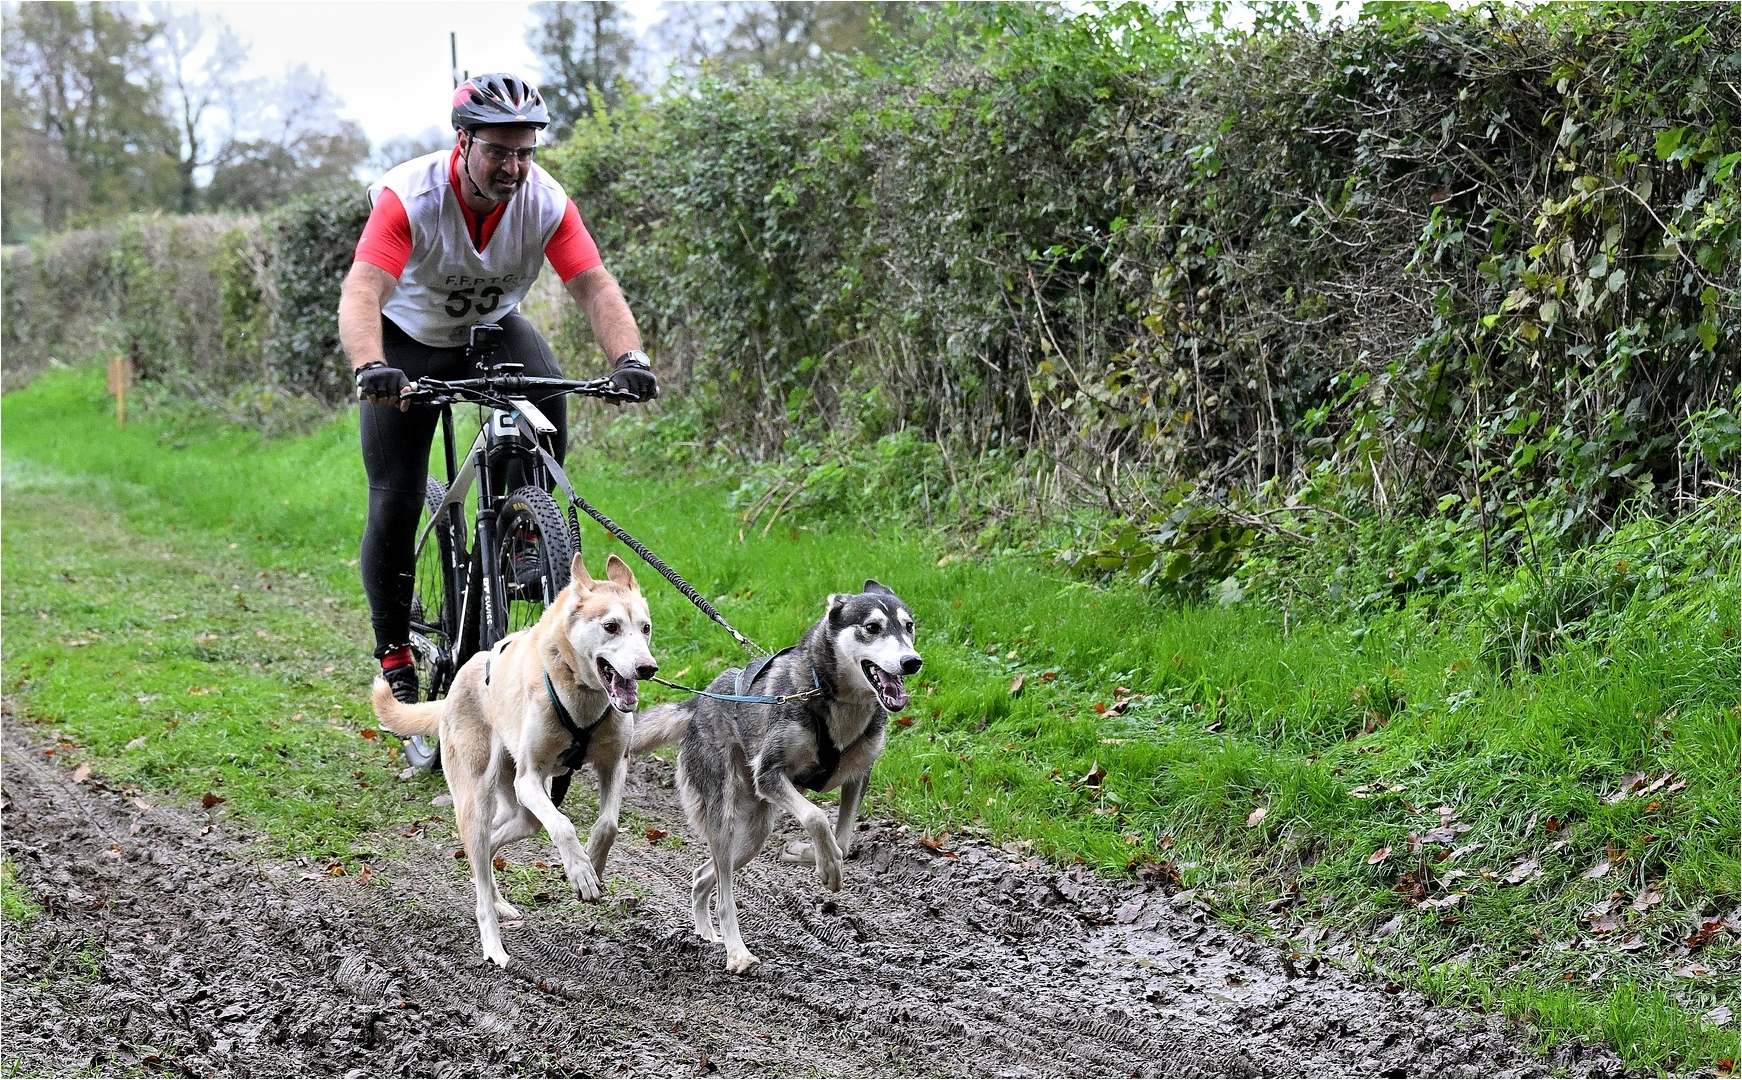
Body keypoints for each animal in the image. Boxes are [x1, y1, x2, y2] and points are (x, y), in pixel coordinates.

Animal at [372, 552, 656, 968]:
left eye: (645, 628)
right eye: (611, 626)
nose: (647, 668)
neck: (581, 693)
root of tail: (455, 683)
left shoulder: (614, 765)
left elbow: (608, 824)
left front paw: (593, 861)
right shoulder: (530, 778)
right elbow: (564, 826)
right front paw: (580, 871)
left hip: (519, 808)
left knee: (492, 846)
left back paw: (497, 897)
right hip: (480, 797)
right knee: (482, 862)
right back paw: (493, 944)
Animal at [633, 580, 921, 973]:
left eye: (909, 627)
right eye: (873, 627)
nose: (912, 662)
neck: (837, 702)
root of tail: (699, 701)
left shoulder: (859, 775)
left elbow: (844, 842)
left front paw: (809, 854)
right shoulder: (769, 774)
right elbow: (816, 817)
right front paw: (825, 863)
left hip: (753, 834)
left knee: (703, 876)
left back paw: (705, 932)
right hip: (724, 817)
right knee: (724, 895)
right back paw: (736, 952)